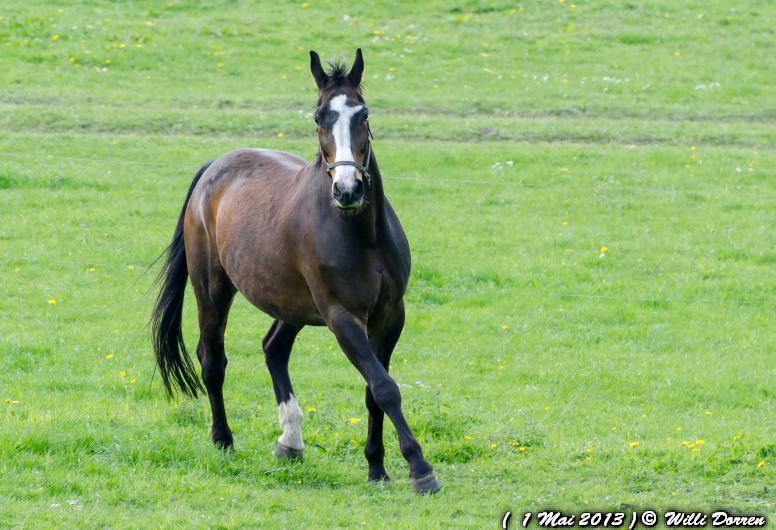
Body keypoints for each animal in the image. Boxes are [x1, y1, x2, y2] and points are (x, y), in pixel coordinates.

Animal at [150, 48, 442, 490]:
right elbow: (384, 386)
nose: (348, 189)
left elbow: (374, 390)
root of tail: (215, 167)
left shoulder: (391, 316)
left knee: (274, 348)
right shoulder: (342, 317)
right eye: (319, 117)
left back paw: (290, 440)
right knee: (212, 360)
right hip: (212, 290)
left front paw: (377, 466)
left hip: (291, 303)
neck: (362, 235)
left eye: (363, 114)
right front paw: (420, 468)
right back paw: (223, 440)